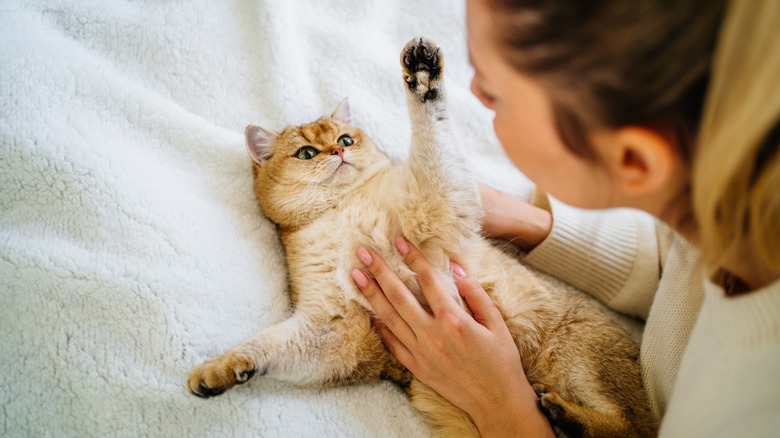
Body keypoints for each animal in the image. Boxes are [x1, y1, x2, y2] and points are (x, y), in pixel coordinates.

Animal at [189, 37, 660, 438]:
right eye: (306, 153)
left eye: (346, 139)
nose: (338, 152)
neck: (341, 212)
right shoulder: (338, 329)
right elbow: (269, 345)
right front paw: (220, 370)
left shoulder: (439, 204)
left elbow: (433, 131)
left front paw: (422, 75)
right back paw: (560, 415)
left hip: (581, 354)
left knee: (630, 427)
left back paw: (562, 412)